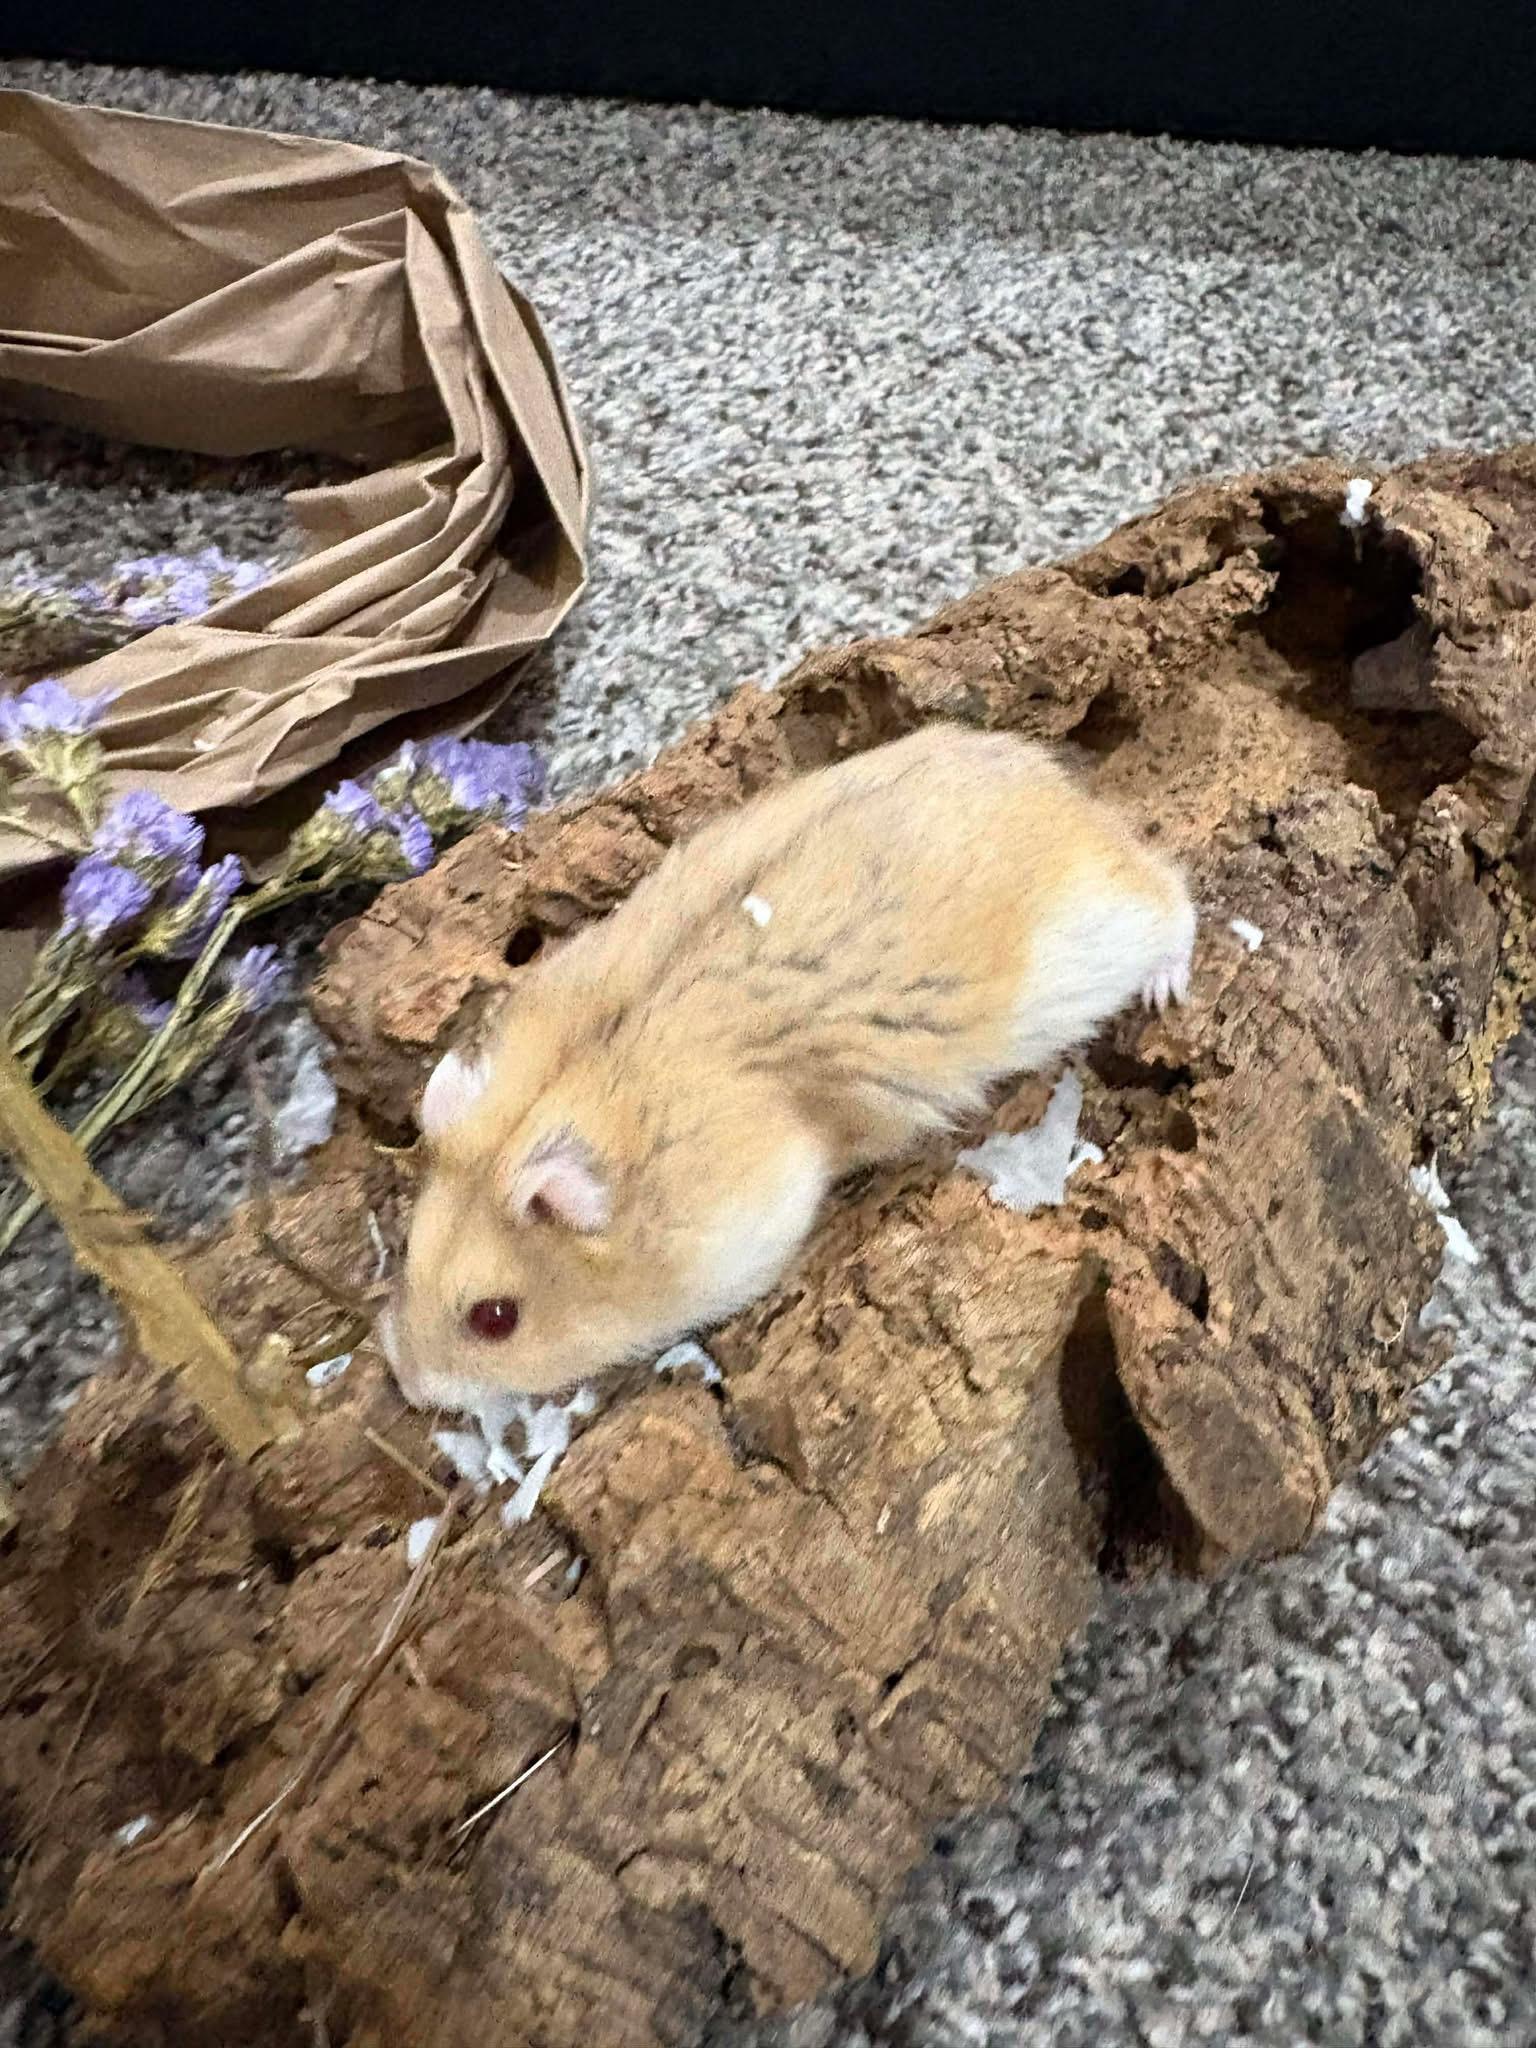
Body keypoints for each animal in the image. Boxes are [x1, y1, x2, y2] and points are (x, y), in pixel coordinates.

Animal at [382, 724, 1195, 1410]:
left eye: (495, 1318)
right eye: (406, 1259)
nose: (411, 1389)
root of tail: (1062, 789)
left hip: (1109, 928)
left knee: (1175, 894)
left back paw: (1165, 986)